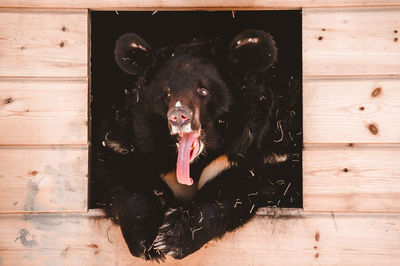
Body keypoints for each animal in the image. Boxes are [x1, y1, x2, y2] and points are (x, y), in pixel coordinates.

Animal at [94, 28, 300, 260]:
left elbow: (243, 184)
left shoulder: (269, 145)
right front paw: (147, 239)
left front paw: (171, 237)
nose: (178, 116)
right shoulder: (128, 135)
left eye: (203, 90)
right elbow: (121, 171)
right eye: (167, 94)